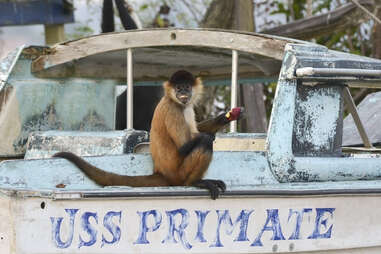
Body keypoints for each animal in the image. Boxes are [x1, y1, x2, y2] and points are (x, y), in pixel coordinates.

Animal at [53, 70, 242, 199]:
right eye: (179, 88)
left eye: (187, 87)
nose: (183, 93)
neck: (174, 101)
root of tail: (161, 172)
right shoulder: (173, 110)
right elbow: (185, 146)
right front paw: (211, 135)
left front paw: (224, 118)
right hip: (179, 173)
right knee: (204, 144)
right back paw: (194, 182)